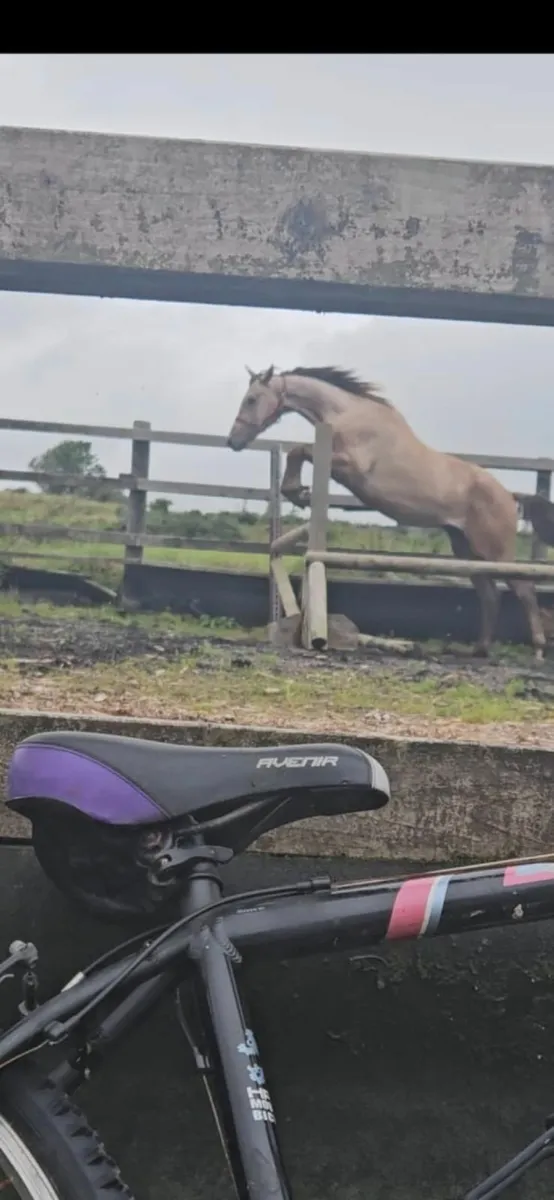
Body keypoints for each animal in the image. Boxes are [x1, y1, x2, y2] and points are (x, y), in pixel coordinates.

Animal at [227, 364, 554, 660]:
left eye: (252, 399)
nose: (233, 441)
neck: (347, 413)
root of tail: (509, 495)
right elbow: (299, 452)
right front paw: (298, 492)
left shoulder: (350, 464)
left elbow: (299, 450)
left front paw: (298, 491)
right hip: (466, 550)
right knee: (490, 595)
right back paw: (480, 650)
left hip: (494, 551)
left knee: (523, 590)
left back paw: (537, 650)